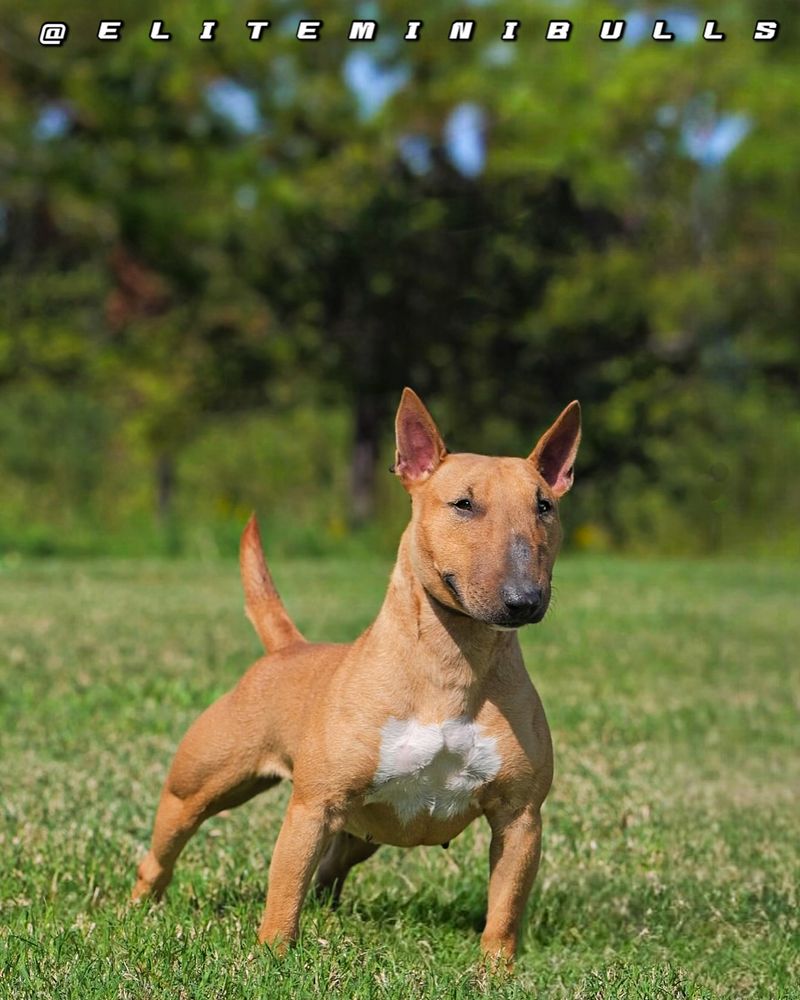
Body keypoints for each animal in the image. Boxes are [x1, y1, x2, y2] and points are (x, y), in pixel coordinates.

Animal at [131, 386, 580, 964]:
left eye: (544, 506)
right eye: (463, 504)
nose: (523, 600)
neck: (451, 665)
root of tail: (289, 648)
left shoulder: (521, 816)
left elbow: (505, 907)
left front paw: (495, 971)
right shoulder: (312, 806)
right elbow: (284, 892)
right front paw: (272, 958)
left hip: (361, 830)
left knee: (331, 868)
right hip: (199, 787)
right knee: (167, 847)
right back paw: (139, 908)